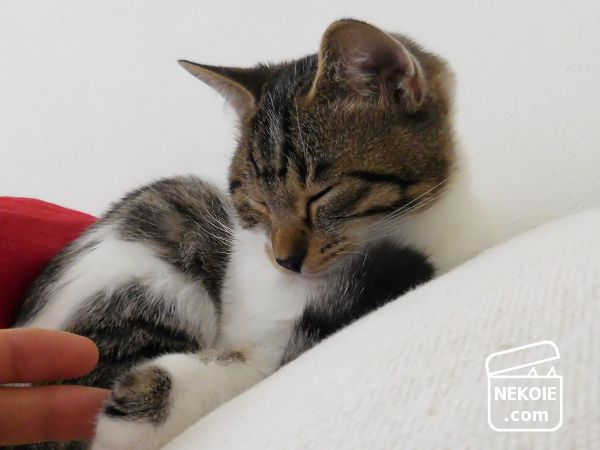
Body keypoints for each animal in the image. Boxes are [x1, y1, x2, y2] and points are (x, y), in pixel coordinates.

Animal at [9, 19, 496, 450]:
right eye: (256, 200)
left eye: (320, 194)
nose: (284, 260)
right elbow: (248, 356)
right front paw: (143, 408)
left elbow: (263, 360)